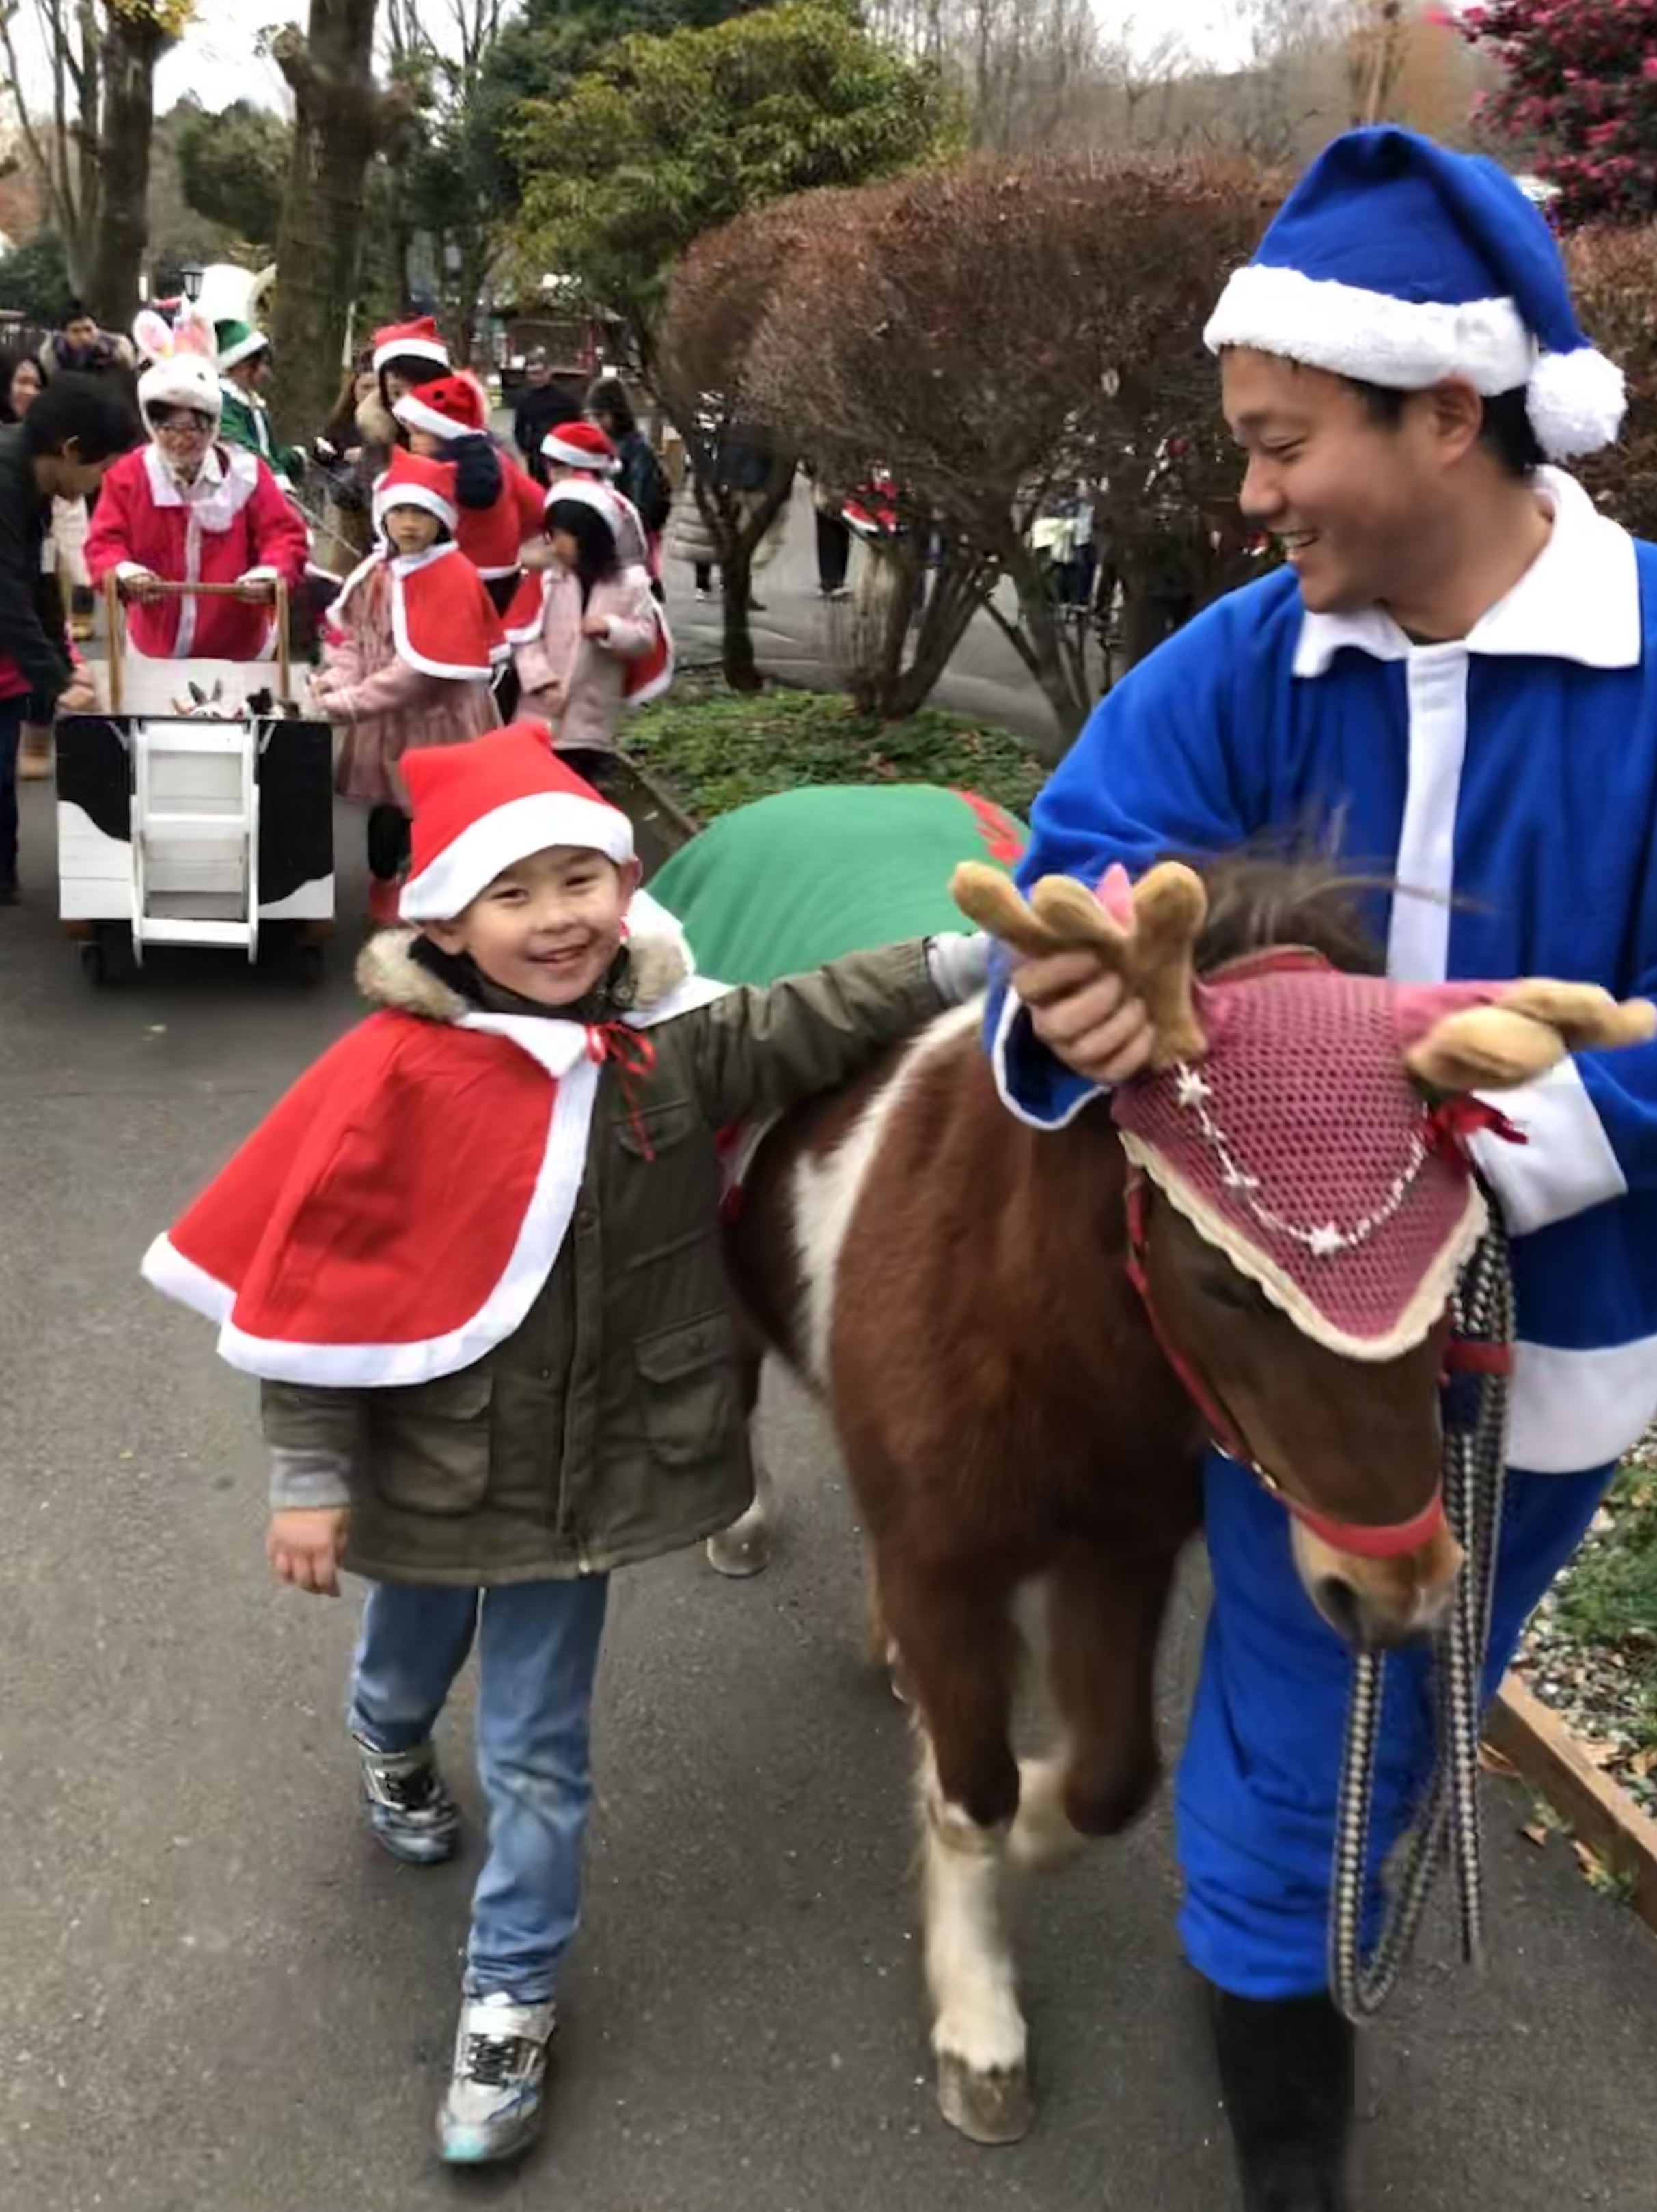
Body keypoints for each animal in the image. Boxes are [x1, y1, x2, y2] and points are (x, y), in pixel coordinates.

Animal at [692, 840, 1652, 2146]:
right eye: (1229, 1277)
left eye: (1463, 1256)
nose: (1398, 1595)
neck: (1037, 1337)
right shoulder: (949, 1559)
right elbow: (972, 1793)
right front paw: (980, 2026)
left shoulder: (1122, 1549)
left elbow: (1109, 1780)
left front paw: (1038, 1814)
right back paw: (741, 1522)